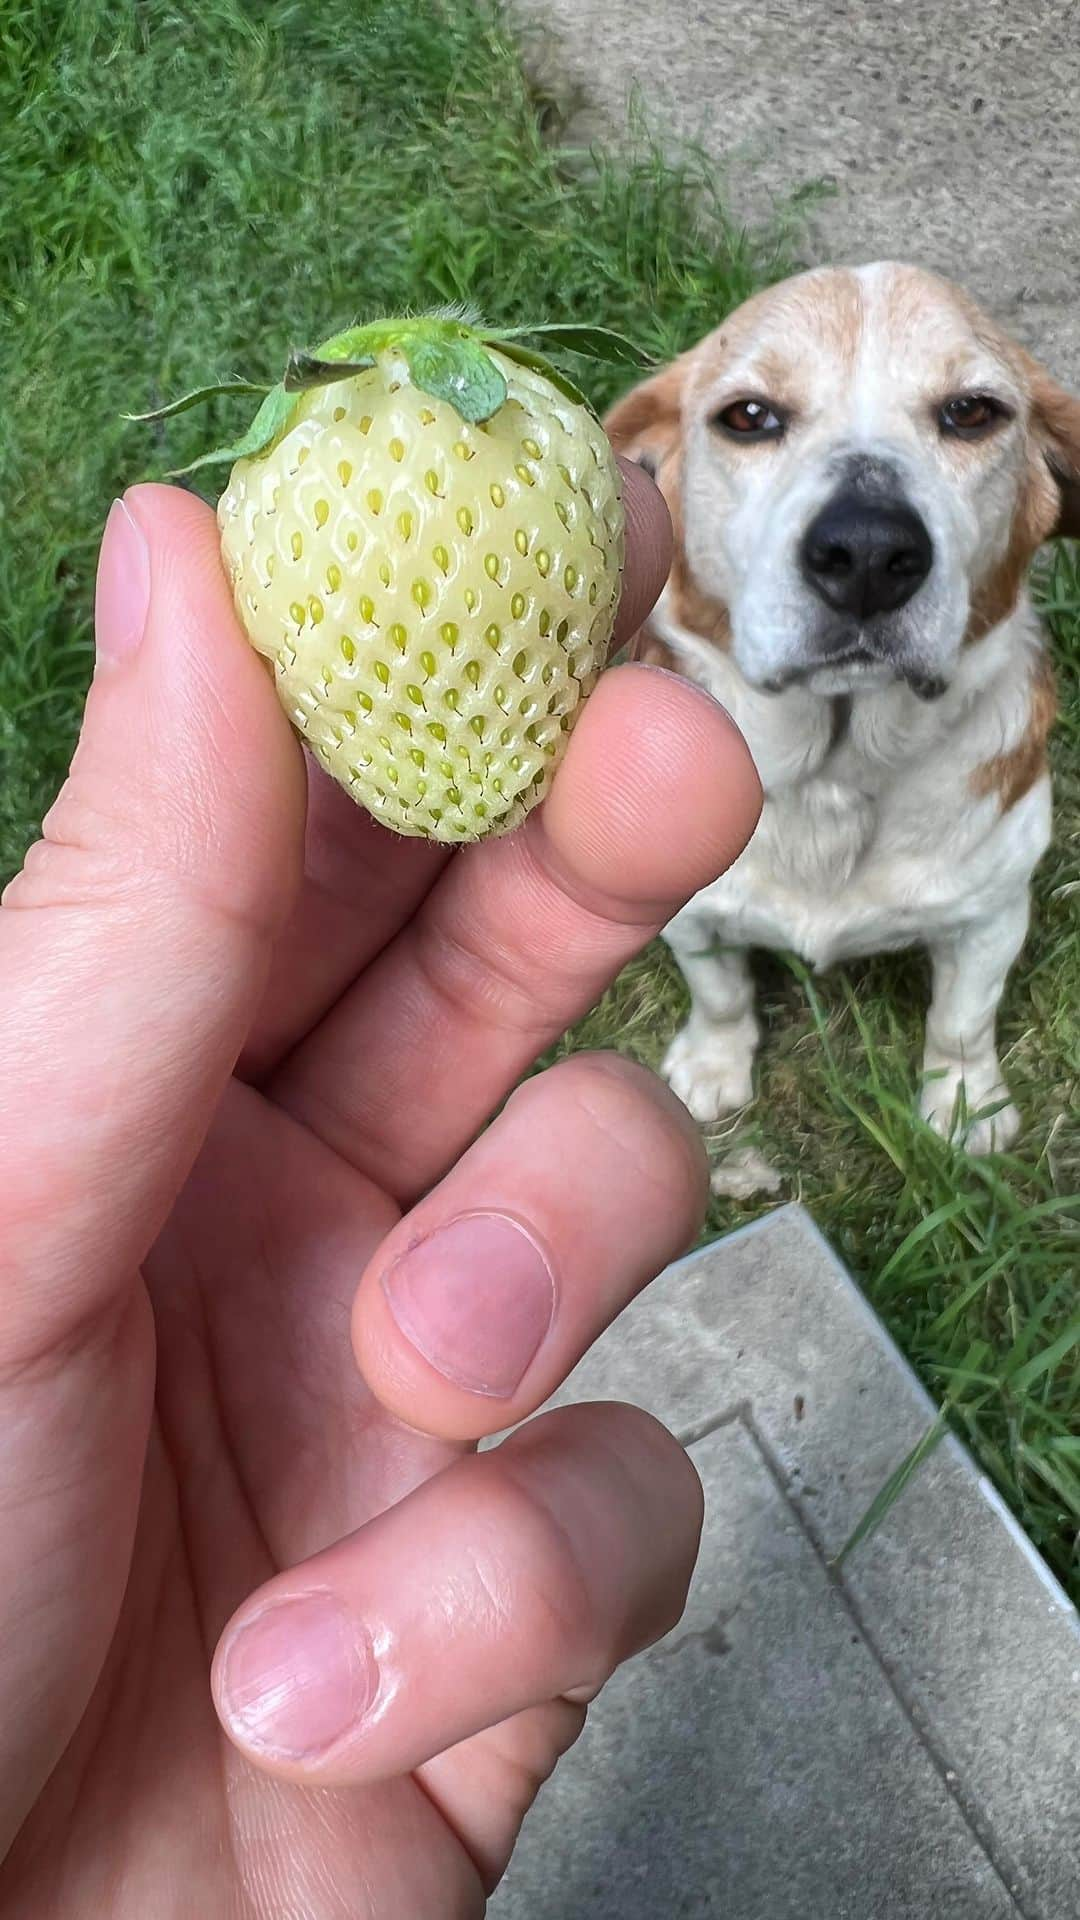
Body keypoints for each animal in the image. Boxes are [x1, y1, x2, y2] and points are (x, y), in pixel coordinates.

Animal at [599, 263, 1068, 1144]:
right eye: (749, 416)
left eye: (971, 411)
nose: (869, 552)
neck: (837, 772)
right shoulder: (690, 915)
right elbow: (720, 993)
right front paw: (713, 1065)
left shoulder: (993, 913)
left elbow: (962, 1021)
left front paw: (964, 1106)